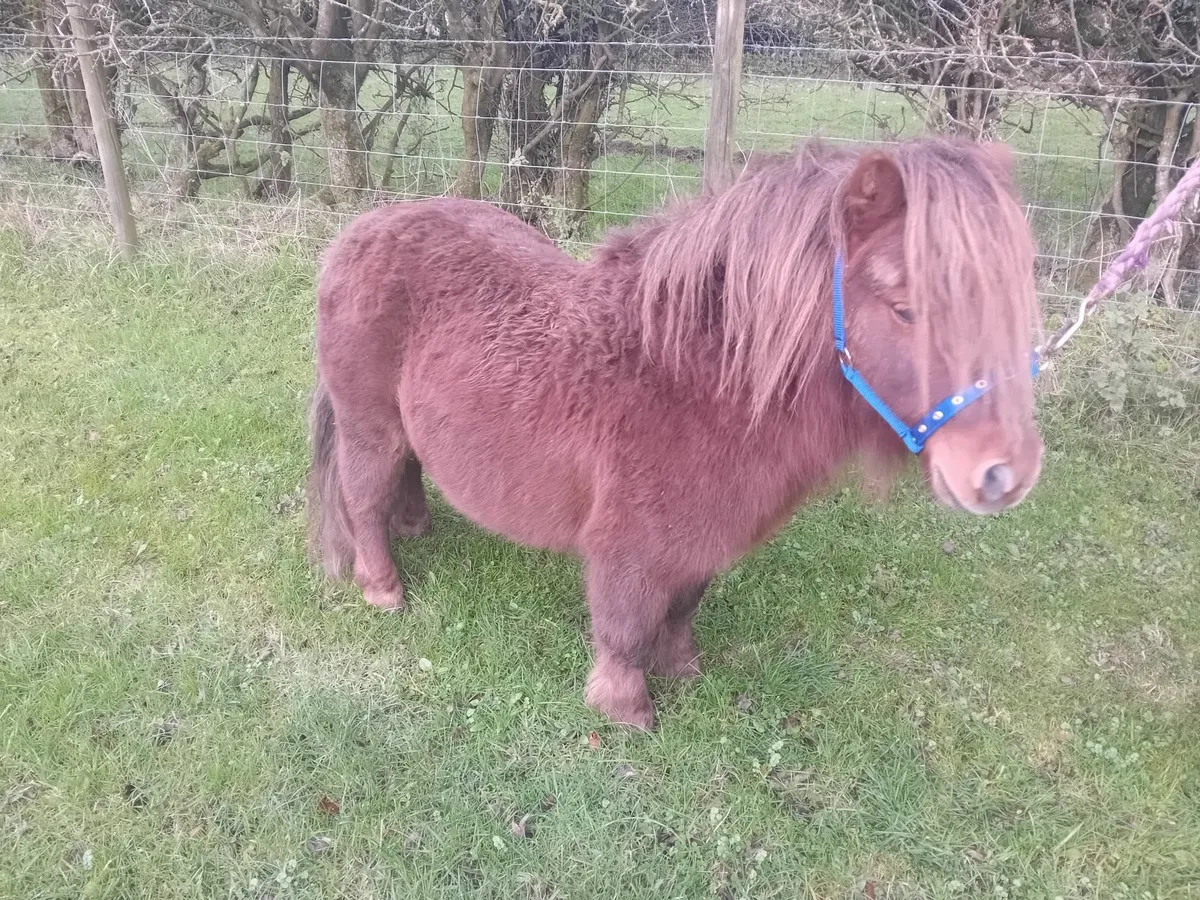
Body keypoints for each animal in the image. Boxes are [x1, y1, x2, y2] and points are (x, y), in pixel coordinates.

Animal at [305, 136, 1044, 730]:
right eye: (907, 310)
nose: (1004, 474)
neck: (693, 379)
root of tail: (361, 230)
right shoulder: (627, 543)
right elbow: (626, 624)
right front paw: (625, 707)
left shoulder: (704, 531)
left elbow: (684, 604)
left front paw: (683, 668)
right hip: (368, 424)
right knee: (363, 496)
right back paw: (384, 587)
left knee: (407, 472)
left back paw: (416, 526)